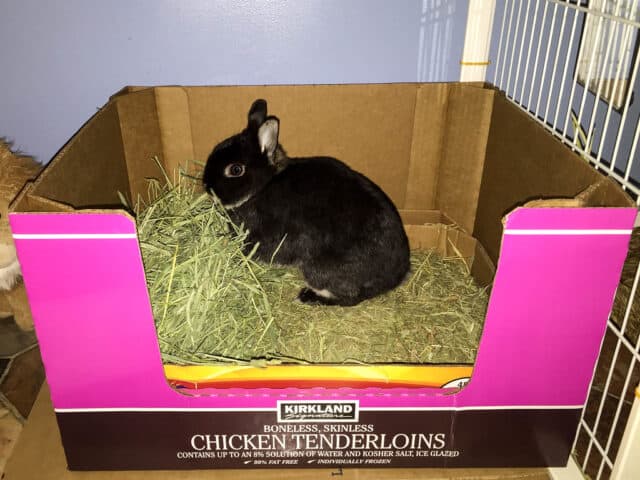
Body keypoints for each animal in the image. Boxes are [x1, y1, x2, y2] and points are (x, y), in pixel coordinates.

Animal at [203, 99, 410, 306]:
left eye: (236, 169)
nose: (206, 185)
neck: (263, 185)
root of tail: (395, 276)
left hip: (318, 270)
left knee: (349, 297)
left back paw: (305, 296)